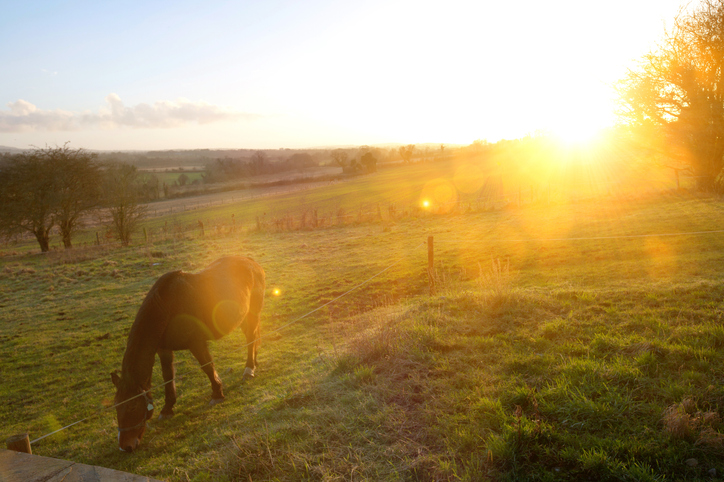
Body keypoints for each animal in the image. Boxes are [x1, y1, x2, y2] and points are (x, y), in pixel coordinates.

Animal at [109, 256, 264, 452]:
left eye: (132, 406)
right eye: (116, 405)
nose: (125, 446)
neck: (167, 307)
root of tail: (252, 262)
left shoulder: (196, 343)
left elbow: (207, 367)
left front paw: (217, 394)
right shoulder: (164, 350)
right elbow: (168, 377)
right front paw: (167, 409)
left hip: (253, 312)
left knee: (251, 338)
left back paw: (249, 369)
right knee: (254, 337)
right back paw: (254, 363)